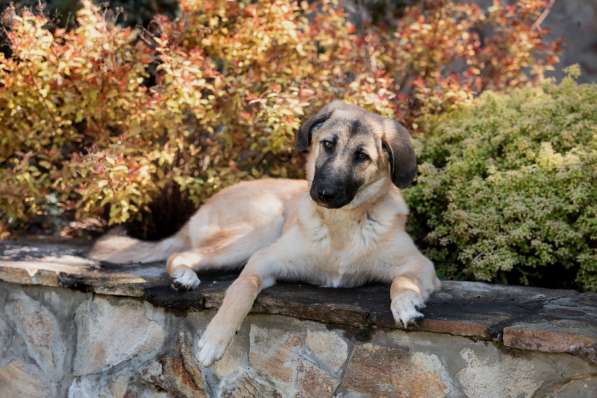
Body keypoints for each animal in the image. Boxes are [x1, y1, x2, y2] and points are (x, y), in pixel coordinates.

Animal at [91, 100, 440, 366]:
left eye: (362, 157)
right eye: (328, 144)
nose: (323, 193)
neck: (340, 228)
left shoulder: (421, 266)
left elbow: (401, 282)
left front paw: (405, 305)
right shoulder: (263, 261)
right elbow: (239, 290)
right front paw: (215, 339)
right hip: (261, 227)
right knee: (180, 253)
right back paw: (185, 277)